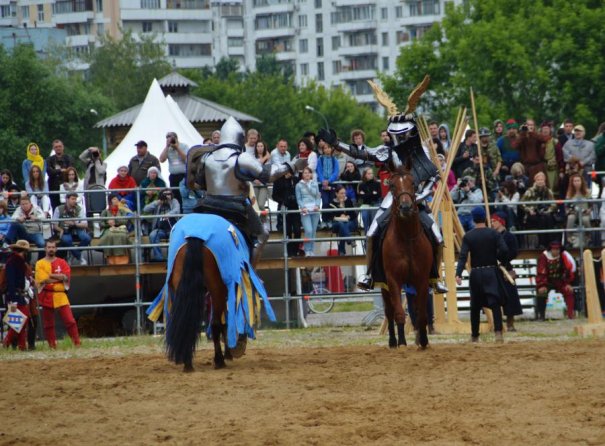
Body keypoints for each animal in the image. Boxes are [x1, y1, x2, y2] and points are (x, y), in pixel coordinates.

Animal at [384, 164, 432, 348]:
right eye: (392, 185)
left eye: (413, 183)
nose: (405, 207)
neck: (406, 238)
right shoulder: (392, 280)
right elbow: (398, 312)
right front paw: (402, 343)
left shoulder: (422, 279)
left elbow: (422, 314)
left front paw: (424, 341)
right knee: (389, 311)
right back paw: (392, 341)